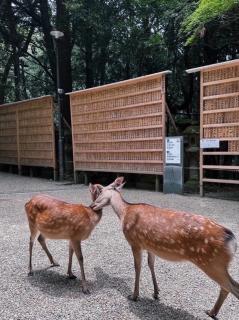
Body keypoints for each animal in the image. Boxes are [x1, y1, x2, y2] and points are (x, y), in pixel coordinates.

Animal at [90, 176, 239, 318]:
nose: (91, 205)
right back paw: (212, 312)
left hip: (212, 262)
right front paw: (156, 292)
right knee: (227, 287)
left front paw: (134, 296)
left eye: (100, 191)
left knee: (232, 287)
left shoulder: (134, 242)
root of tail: (231, 239)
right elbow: (151, 265)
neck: (124, 212)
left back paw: (212, 311)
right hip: (218, 264)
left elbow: (137, 267)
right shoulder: (150, 246)